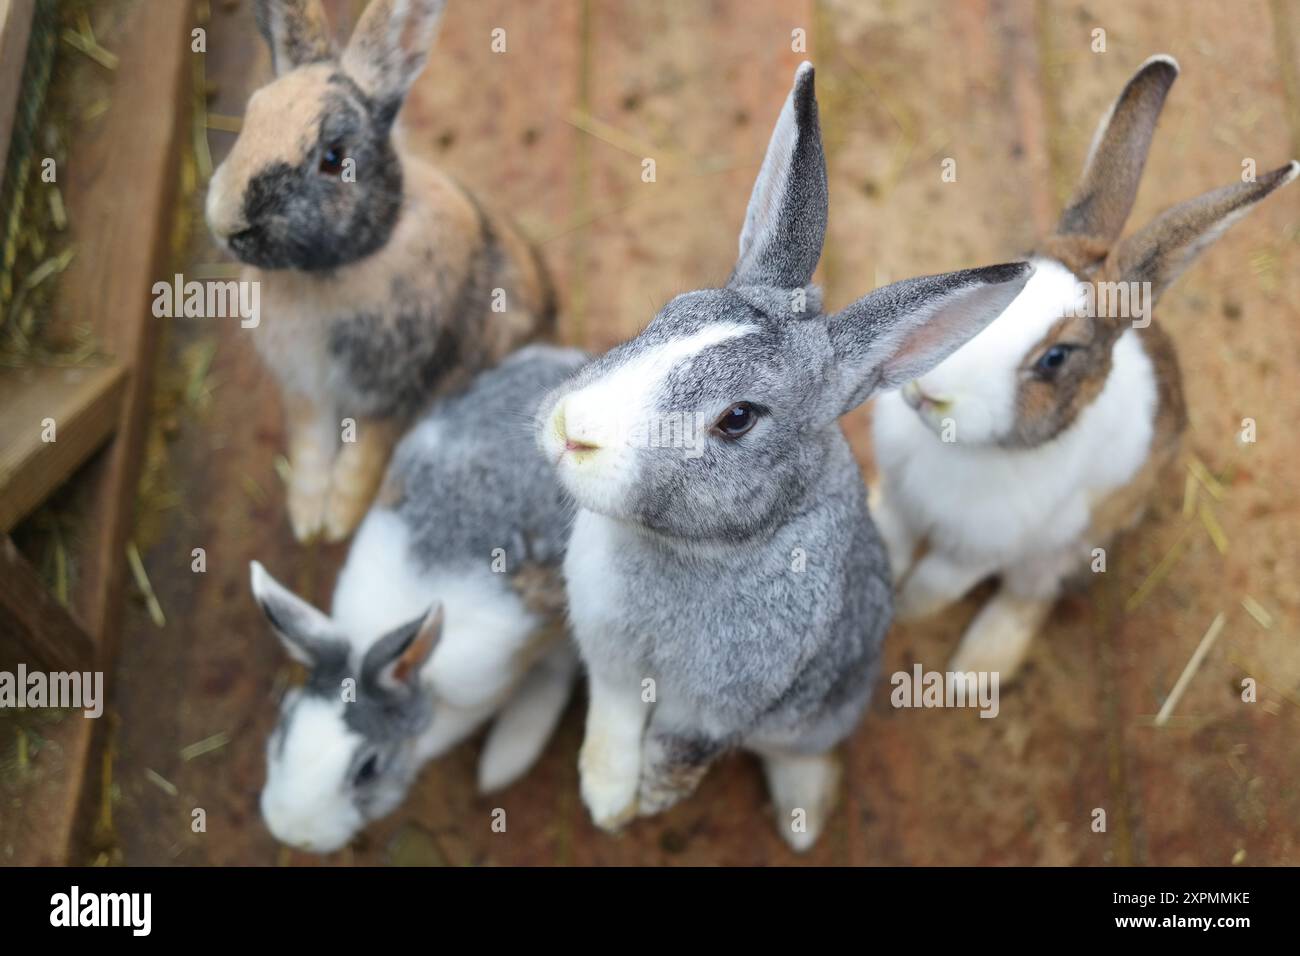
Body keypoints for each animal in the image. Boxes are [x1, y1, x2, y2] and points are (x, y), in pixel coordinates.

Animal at [206, 0, 555, 543]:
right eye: (249, 119)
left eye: (334, 159)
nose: (227, 223)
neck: (330, 273)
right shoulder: (305, 390)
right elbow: (310, 450)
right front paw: (307, 522)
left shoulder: (395, 394)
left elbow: (362, 459)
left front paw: (339, 524)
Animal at [533, 63, 1033, 851]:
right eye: (666, 314)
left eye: (738, 419)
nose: (570, 429)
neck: (694, 551)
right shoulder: (610, 659)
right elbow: (612, 722)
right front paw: (608, 800)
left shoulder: (721, 703)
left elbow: (680, 750)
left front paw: (649, 802)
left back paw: (805, 817)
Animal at [870, 54, 1298, 683]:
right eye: (1008, 268)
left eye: (1054, 359)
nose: (930, 390)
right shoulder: (903, 503)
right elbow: (891, 544)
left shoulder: (977, 551)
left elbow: (931, 589)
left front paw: (903, 616)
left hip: (1066, 547)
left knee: (1030, 596)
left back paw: (976, 670)